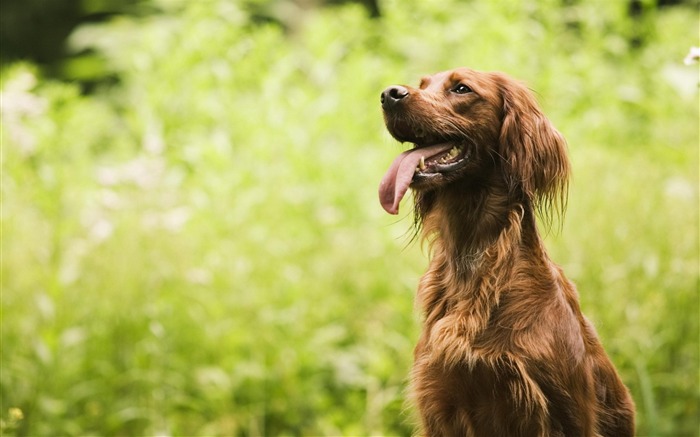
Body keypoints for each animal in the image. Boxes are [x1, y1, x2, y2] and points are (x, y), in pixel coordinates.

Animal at [378, 66, 636, 434]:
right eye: (423, 84)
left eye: (461, 89)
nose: (389, 94)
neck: (472, 259)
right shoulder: (440, 403)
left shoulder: (562, 411)